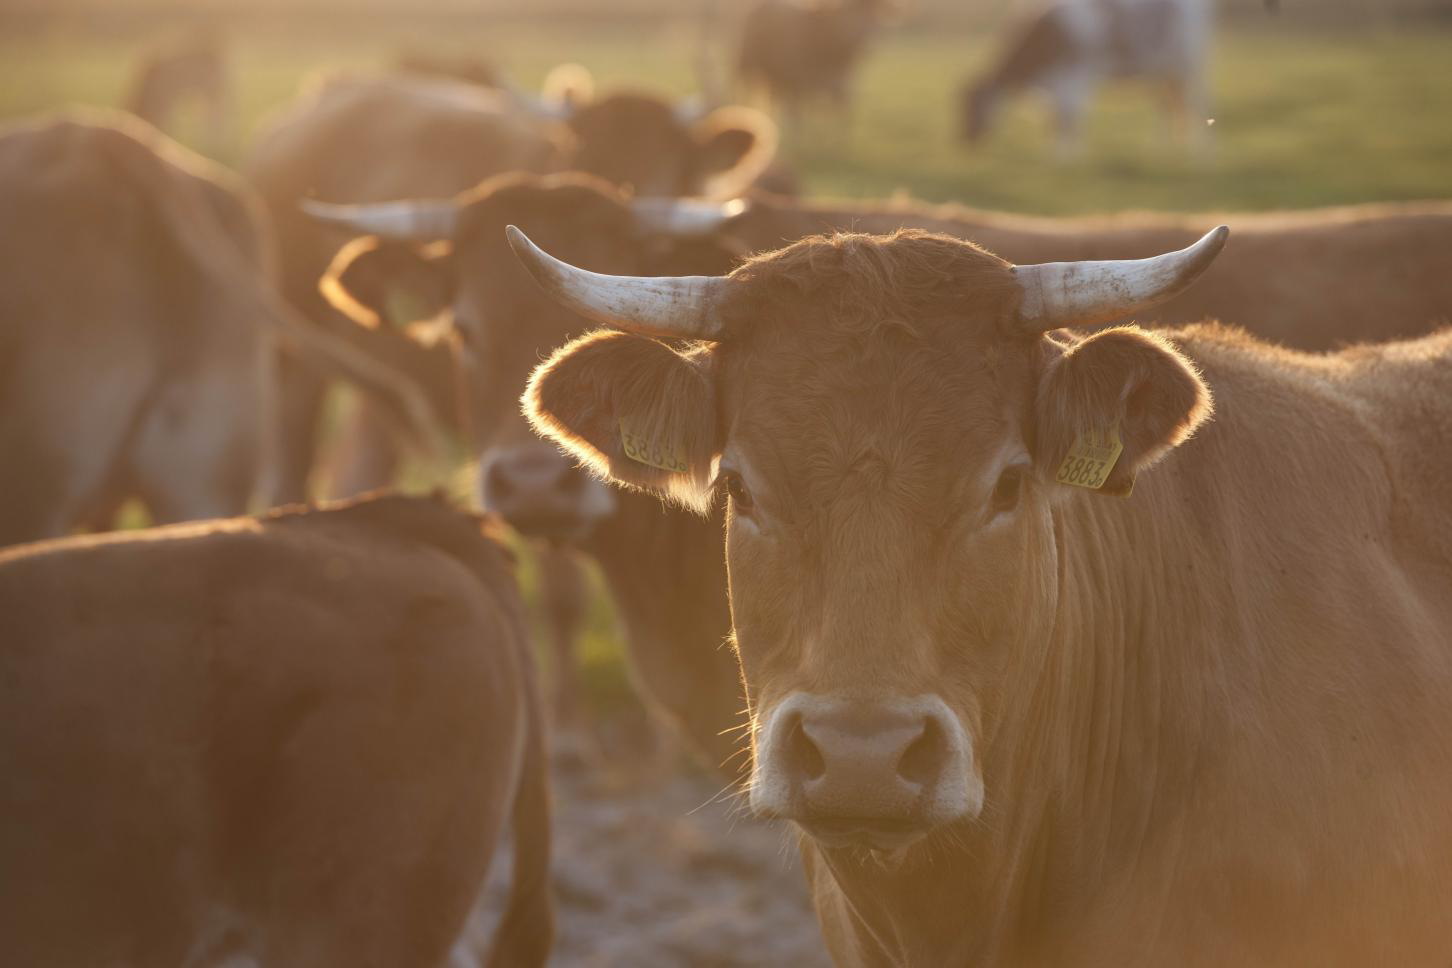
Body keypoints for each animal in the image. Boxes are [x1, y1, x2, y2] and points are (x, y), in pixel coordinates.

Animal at [958, 0, 1219, 153]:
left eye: (973, 105)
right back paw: (1160, 148)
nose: (963, 140)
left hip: (1191, 63)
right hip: (1164, 71)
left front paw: (1064, 158)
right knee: (1167, 105)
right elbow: (1058, 119)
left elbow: (1067, 118)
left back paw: (1202, 153)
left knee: (1199, 102)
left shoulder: (1073, 76)